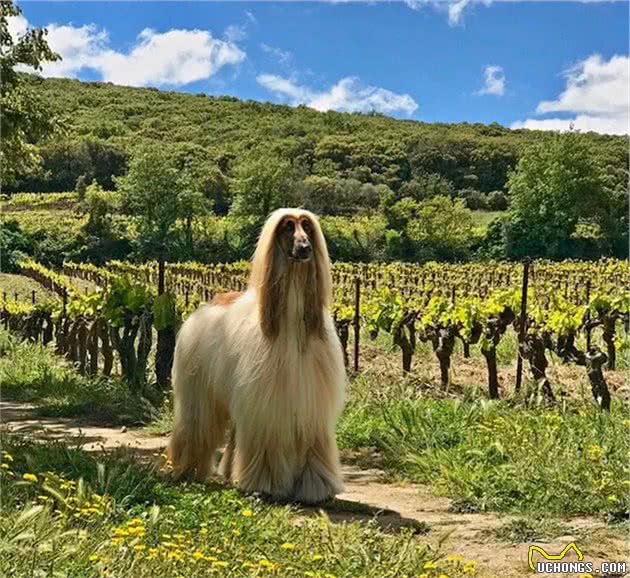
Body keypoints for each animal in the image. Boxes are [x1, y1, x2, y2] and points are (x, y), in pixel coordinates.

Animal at [168, 207, 346, 500]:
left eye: (307, 227)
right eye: (288, 227)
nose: (305, 248)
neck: (291, 318)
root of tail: (207, 304)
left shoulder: (311, 407)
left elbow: (312, 446)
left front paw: (315, 486)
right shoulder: (265, 405)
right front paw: (267, 482)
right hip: (199, 392)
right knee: (195, 427)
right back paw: (186, 469)